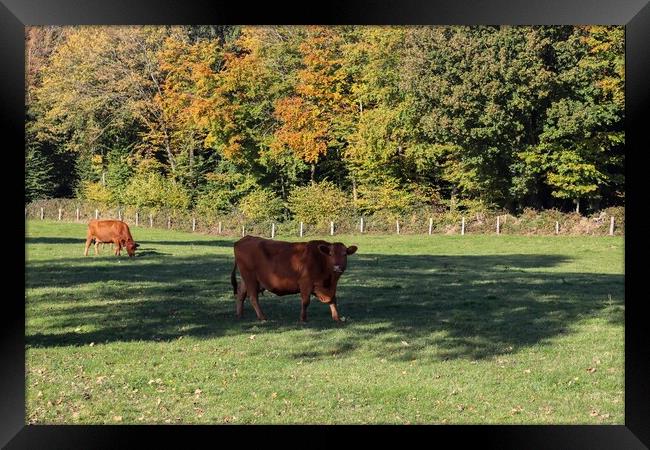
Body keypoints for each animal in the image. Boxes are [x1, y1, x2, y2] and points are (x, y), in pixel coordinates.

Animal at [229, 236, 360, 320]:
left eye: (344, 254)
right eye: (331, 254)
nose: (337, 267)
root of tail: (244, 239)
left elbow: (333, 300)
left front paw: (336, 317)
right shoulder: (305, 283)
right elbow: (305, 302)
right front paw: (303, 319)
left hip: (246, 279)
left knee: (241, 294)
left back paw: (239, 315)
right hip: (250, 277)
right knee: (253, 297)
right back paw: (262, 317)